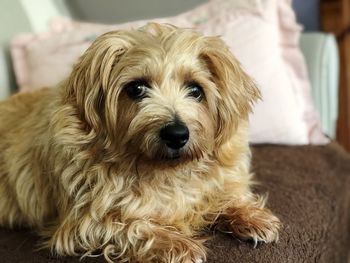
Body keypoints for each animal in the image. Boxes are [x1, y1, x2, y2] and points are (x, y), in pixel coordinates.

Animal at [0, 23, 280, 262]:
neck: (165, 172)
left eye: (195, 90)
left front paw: (252, 216)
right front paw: (178, 244)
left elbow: (225, 195)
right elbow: (130, 226)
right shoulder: (81, 223)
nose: (176, 134)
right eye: (136, 89)